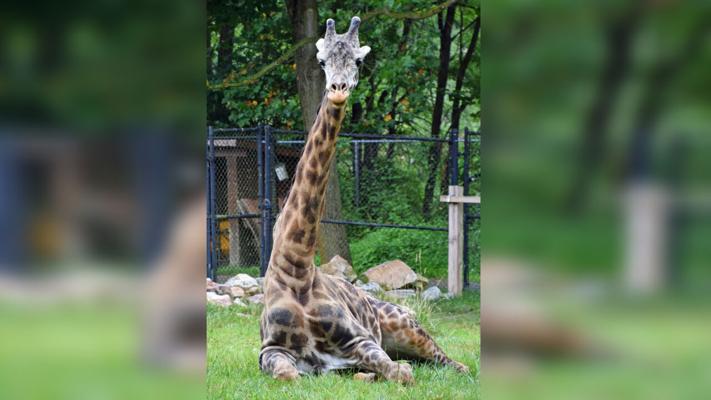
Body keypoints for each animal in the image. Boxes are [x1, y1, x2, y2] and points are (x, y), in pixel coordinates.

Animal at [259, 16, 469, 384]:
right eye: (322, 61)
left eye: (358, 61)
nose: (338, 89)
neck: (296, 268)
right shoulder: (269, 350)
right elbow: (289, 374)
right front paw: (361, 375)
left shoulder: (360, 338)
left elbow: (398, 372)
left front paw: (372, 373)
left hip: (406, 325)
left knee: (447, 360)